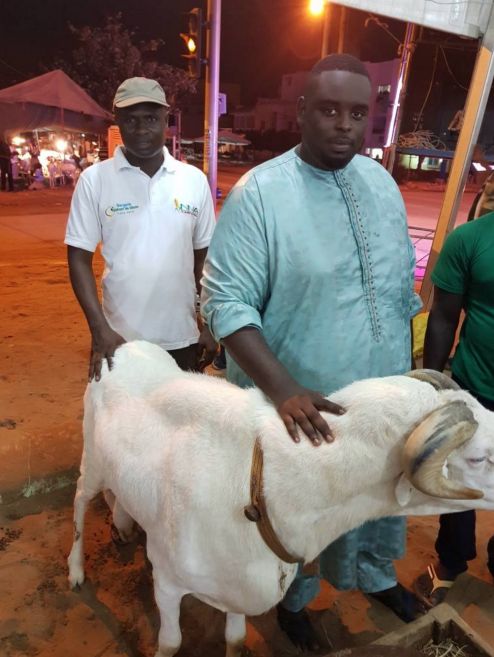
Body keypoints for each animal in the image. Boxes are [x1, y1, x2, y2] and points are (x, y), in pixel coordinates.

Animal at [68, 340, 494, 657]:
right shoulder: (168, 579)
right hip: (93, 462)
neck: (266, 488)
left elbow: (236, 639)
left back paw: (124, 523)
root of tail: (122, 347)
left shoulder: (239, 590)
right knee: (80, 503)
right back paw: (75, 571)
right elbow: (171, 644)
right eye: (478, 457)